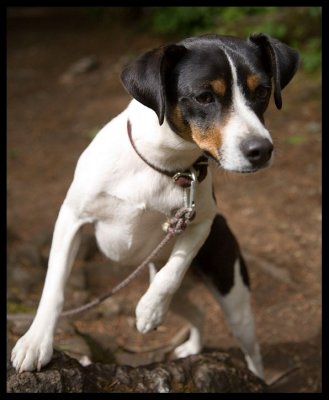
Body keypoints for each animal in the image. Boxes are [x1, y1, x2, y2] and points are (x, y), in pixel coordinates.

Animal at [10, 33, 298, 378]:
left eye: (262, 91)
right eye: (204, 97)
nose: (262, 150)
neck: (163, 163)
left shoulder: (201, 222)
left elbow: (171, 272)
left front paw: (149, 309)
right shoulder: (72, 218)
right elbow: (54, 288)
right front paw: (35, 342)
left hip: (233, 295)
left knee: (249, 347)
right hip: (185, 296)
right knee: (198, 313)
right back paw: (191, 348)